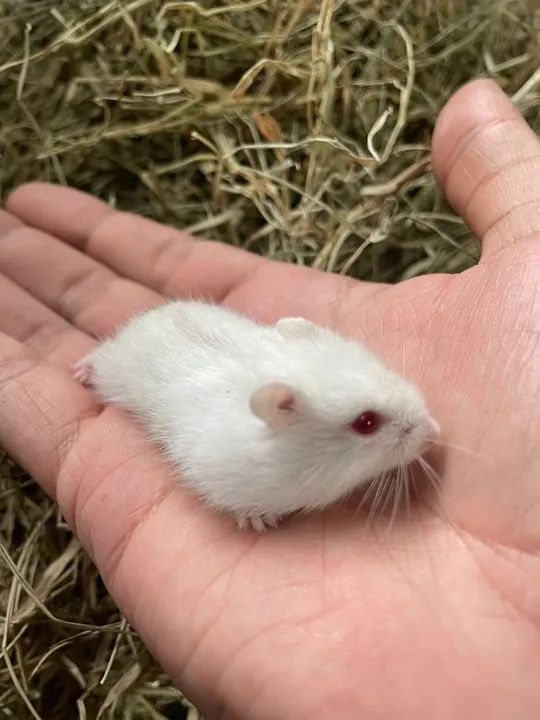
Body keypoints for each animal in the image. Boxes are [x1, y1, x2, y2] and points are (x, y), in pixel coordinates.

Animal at [75, 300, 438, 532]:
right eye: (366, 422)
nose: (434, 432)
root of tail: (146, 318)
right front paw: (259, 522)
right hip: (114, 367)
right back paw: (80, 371)